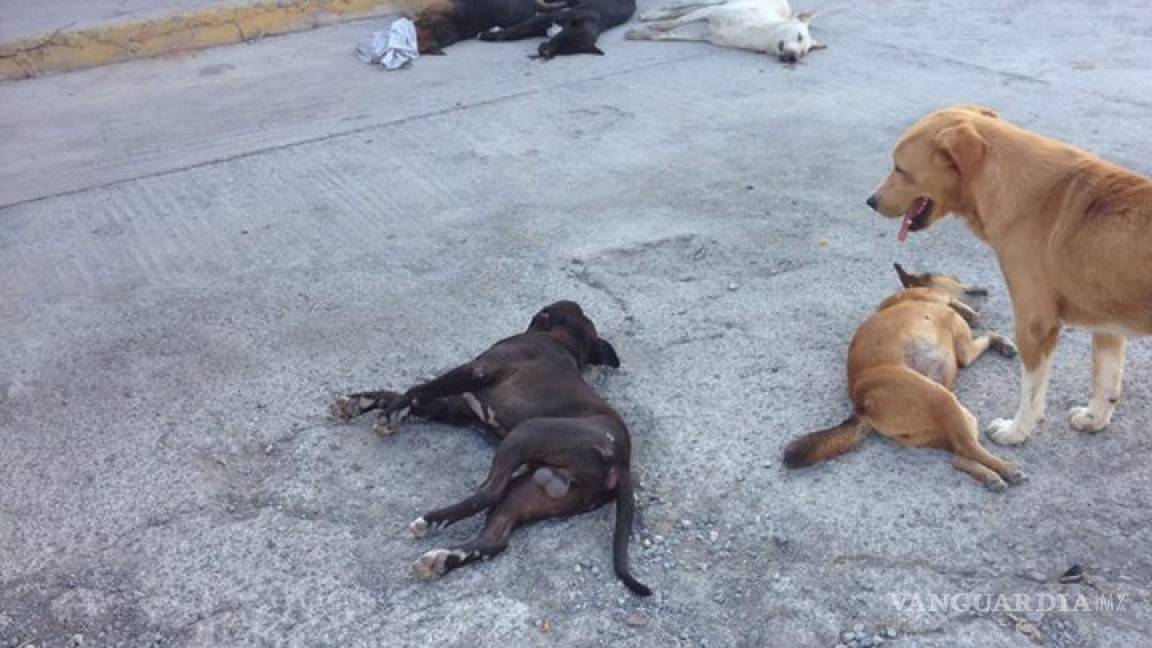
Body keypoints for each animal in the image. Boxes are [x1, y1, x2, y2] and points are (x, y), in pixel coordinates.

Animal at [336, 299, 658, 594]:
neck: (563, 342)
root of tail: (620, 462)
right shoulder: (453, 406)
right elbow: (401, 393)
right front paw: (358, 402)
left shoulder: (477, 369)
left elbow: (415, 389)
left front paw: (390, 414)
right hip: (528, 491)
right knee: (495, 539)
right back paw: (442, 559)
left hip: (524, 434)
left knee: (489, 492)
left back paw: (431, 521)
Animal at [479, 0, 640, 57]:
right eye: (562, 38)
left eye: (566, 51)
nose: (544, 53)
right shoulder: (543, 19)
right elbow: (514, 30)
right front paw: (489, 35)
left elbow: (518, 31)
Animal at [626, 0, 824, 61]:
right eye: (799, 36)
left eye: (804, 53)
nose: (794, 58)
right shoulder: (711, 12)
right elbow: (676, 22)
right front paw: (658, 25)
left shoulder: (704, 36)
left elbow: (669, 35)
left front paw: (643, 34)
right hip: (714, 3)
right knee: (686, 5)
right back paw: (654, 14)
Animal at [783, 262, 1027, 488]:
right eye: (955, 278)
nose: (986, 289)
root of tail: (862, 405)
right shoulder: (963, 347)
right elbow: (980, 327)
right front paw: (979, 321)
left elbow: (987, 333)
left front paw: (1003, 343)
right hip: (943, 400)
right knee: (966, 448)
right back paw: (1006, 468)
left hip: (958, 414)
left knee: (959, 456)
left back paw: (990, 476)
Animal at [866, 106, 1147, 447]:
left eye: (900, 168)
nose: (871, 201)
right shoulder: (1107, 325)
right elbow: (1106, 380)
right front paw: (1095, 420)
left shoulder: (1035, 325)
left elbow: (1032, 393)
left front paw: (1017, 431)